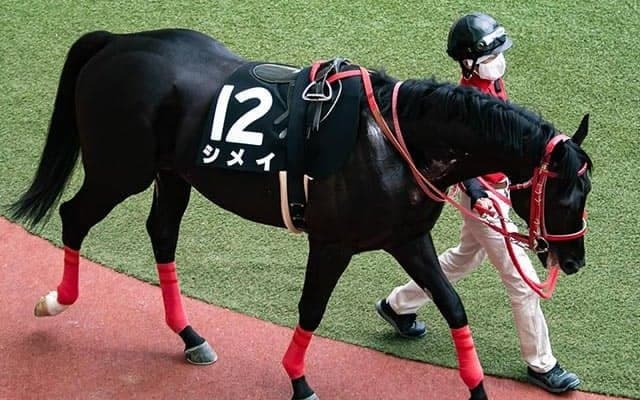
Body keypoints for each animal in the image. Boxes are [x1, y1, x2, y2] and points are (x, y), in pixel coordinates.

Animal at [10, 29, 592, 400]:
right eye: (570, 196)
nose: (574, 261)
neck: (397, 138)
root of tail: (115, 42)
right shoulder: (331, 243)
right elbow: (312, 309)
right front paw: (298, 381)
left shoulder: (407, 238)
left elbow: (452, 305)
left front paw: (476, 388)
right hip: (119, 169)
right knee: (74, 216)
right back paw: (55, 301)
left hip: (173, 173)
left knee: (161, 233)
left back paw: (191, 336)